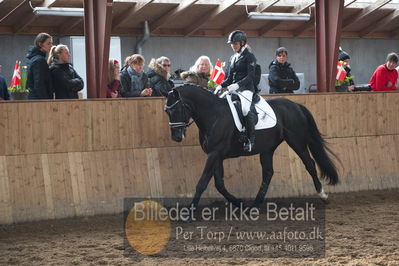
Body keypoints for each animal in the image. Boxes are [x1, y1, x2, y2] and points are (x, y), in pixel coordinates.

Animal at [164, 84, 340, 208]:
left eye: (177, 109)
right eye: (167, 111)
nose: (176, 137)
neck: (213, 115)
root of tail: (295, 105)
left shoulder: (214, 154)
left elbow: (202, 182)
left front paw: (189, 211)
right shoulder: (216, 155)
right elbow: (219, 184)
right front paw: (238, 203)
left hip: (296, 141)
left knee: (309, 164)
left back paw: (323, 195)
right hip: (268, 148)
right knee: (268, 172)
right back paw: (255, 204)